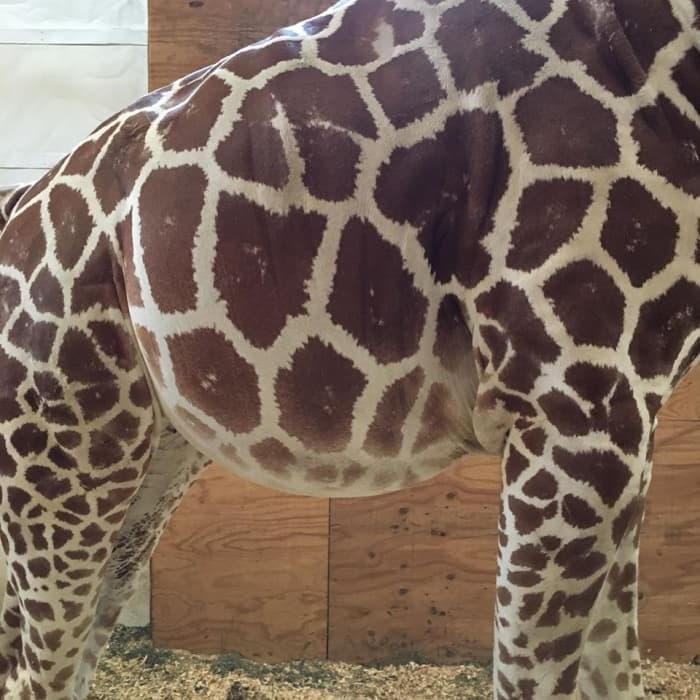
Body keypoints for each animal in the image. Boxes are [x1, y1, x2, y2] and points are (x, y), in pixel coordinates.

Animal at [0, 0, 698, 697]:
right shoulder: (574, 405)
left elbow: (616, 670)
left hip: (141, 458)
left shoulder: (629, 421)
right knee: (36, 671)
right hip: (62, 462)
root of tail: (16, 206)